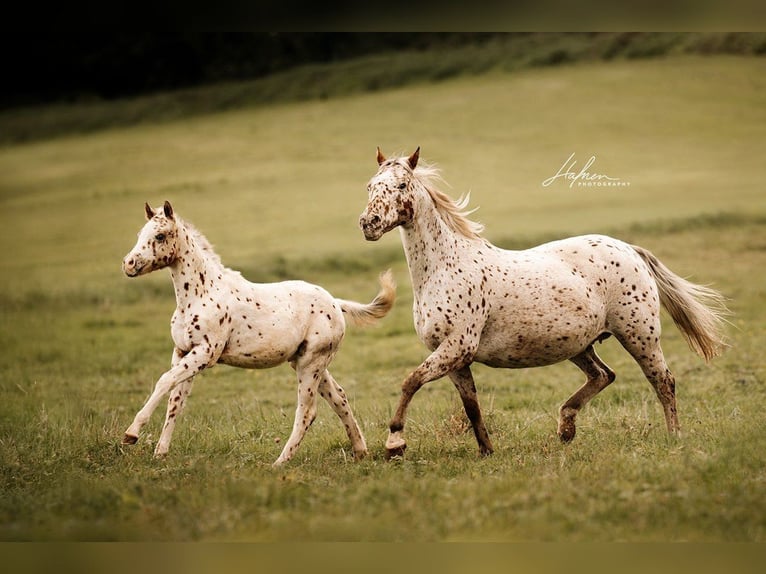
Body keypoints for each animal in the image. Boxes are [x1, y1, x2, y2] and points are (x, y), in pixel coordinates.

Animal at [122, 200, 396, 465]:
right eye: (139, 234)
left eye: (159, 235)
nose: (128, 264)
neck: (201, 293)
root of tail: (336, 303)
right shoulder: (183, 351)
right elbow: (175, 402)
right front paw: (160, 453)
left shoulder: (205, 354)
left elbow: (164, 381)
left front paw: (131, 434)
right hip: (308, 362)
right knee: (339, 398)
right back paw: (360, 451)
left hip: (310, 364)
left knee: (307, 412)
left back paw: (280, 462)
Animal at [359, 147, 728, 459]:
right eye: (370, 186)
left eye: (401, 184)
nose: (368, 223)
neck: (445, 267)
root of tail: (629, 249)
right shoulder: (455, 359)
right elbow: (471, 406)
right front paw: (487, 452)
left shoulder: (456, 347)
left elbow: (410, 381)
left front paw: (395, 443)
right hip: (579, 345)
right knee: (603, 376)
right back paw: (565, 428)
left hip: (640, 336)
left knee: (663, 380)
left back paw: (673, 436)